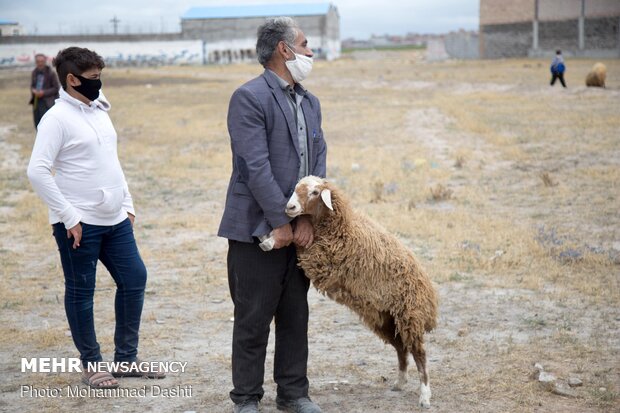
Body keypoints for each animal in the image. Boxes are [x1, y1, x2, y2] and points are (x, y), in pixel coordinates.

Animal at [286, 175, 440, 408]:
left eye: (314, 192)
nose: (290, 207)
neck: (343, 226)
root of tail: (429, 292)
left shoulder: (323, 262)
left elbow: (297, 241)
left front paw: (271, 238)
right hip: (386, 319)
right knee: (401, 349)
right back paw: (400, 382)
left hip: (409, 315)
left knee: (419, 353)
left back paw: (424, 396)